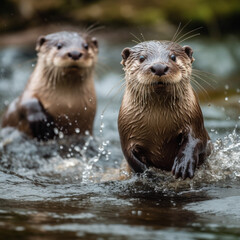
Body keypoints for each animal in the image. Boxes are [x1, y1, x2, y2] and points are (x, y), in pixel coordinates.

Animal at [118, 40, 212, 179]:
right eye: (141, 58)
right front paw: (149, 173)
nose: (159, 67)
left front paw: (183, 165)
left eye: (173, 57)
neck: (159, 124)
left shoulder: (195, 122)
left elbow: (196, 141)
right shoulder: (126, 136)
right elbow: (131, 158)